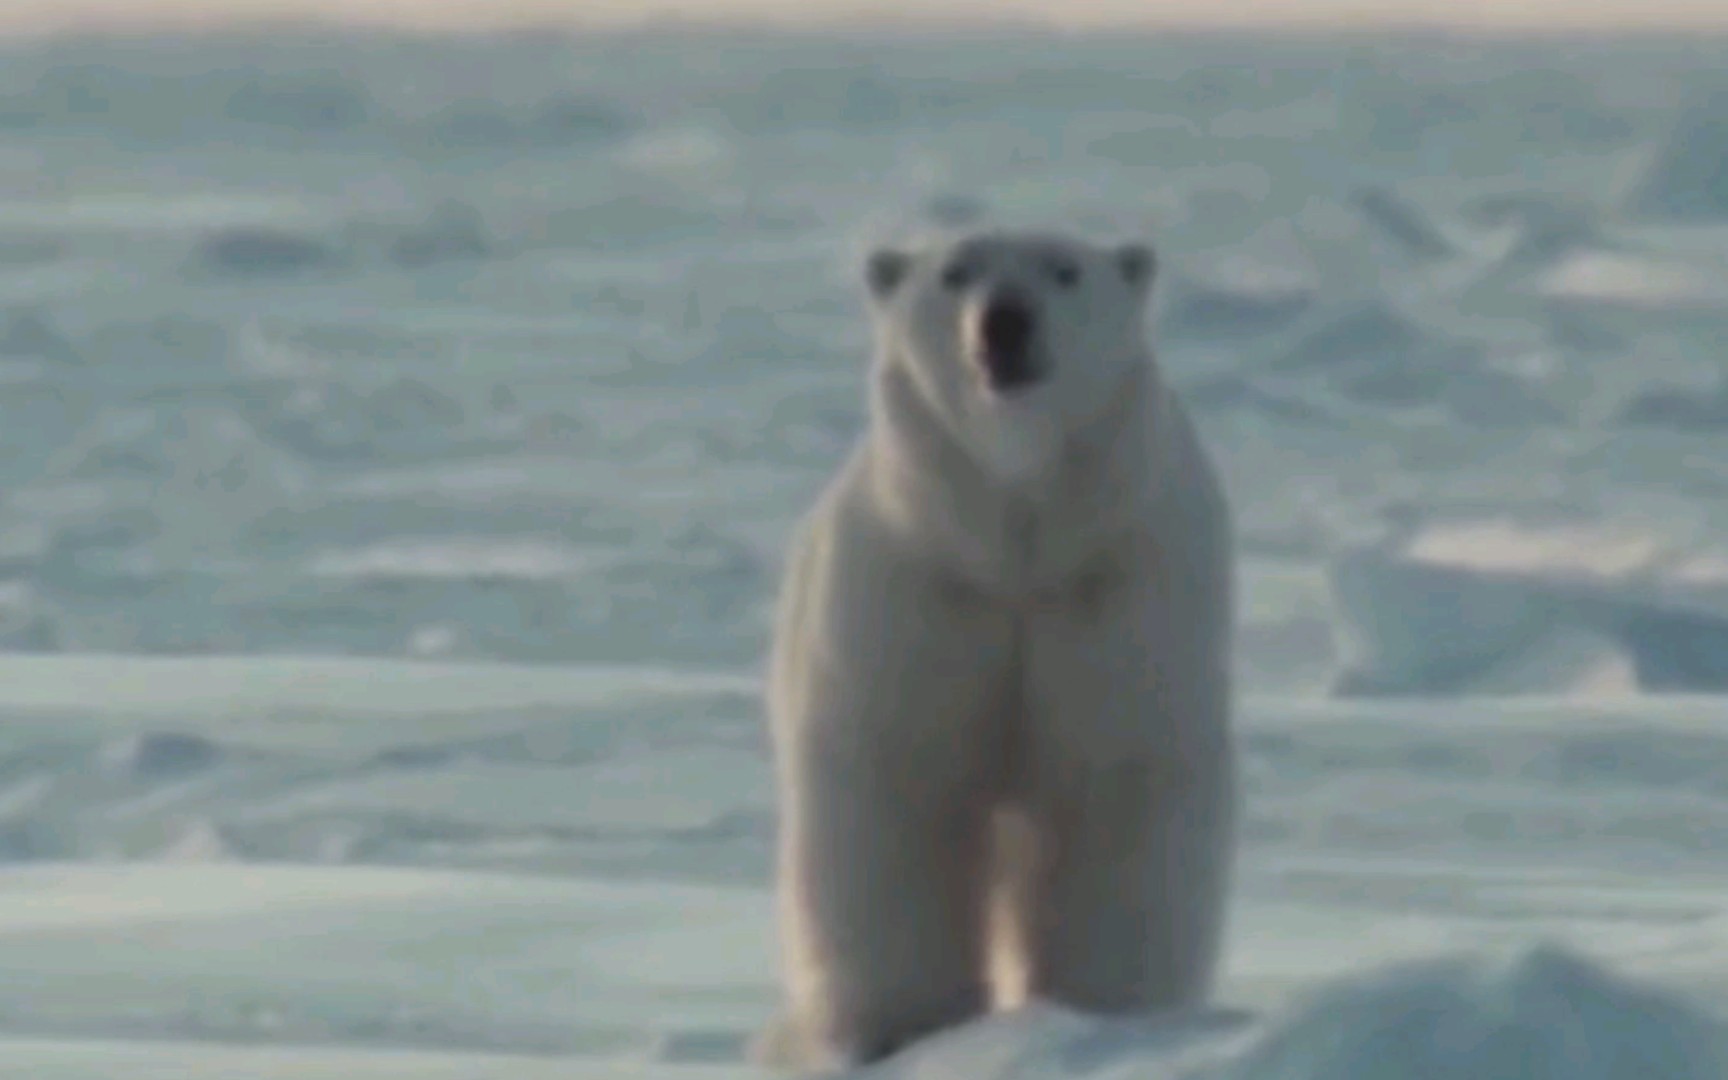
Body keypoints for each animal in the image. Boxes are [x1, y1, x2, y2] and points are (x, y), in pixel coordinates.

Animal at [760, 224, 1244, 1071]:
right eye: (954, 273)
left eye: (1066, 270)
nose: (1006, 321)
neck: (1016, 546)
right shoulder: (922, 594)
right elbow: (901, 791)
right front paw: (907, 1027)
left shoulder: (1116, 597)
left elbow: (1119, 791)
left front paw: (1106, 1013)